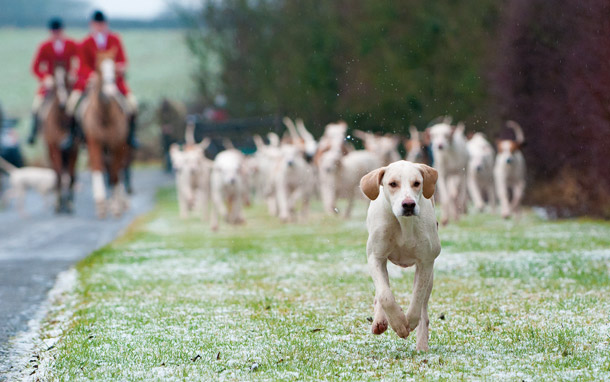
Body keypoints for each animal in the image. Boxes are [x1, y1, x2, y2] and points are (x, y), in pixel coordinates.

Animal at [40, 62, 79, 212]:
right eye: (56, 84)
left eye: (68, 80)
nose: (63, 104)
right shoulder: (55, 148)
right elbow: (60, 175)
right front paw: (60, 203)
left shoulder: (73, 149)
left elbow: (71, 175)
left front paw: (70, 203)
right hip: (51, 151)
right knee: (58, 174)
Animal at [81, 49, 129, 219]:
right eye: (99, 69)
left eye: (114, 68)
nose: (110, 91)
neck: (105, 116)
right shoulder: (94, 144)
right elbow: (98, 170)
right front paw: (101, 205)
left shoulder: (116, 145)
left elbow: (115, 175)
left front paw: (115, 206)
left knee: (118, 171)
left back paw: (121, 202)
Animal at [358, 160, 440, 350]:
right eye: (393, 184)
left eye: (417, 183)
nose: (408, 204)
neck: (404, 224)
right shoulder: (375, 257)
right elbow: (385, 295)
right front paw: (398, 323)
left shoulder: (426, 261)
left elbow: (417, 296)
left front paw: (408, 322)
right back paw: (380, 321)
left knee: (424, 307)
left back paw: (422, 344)